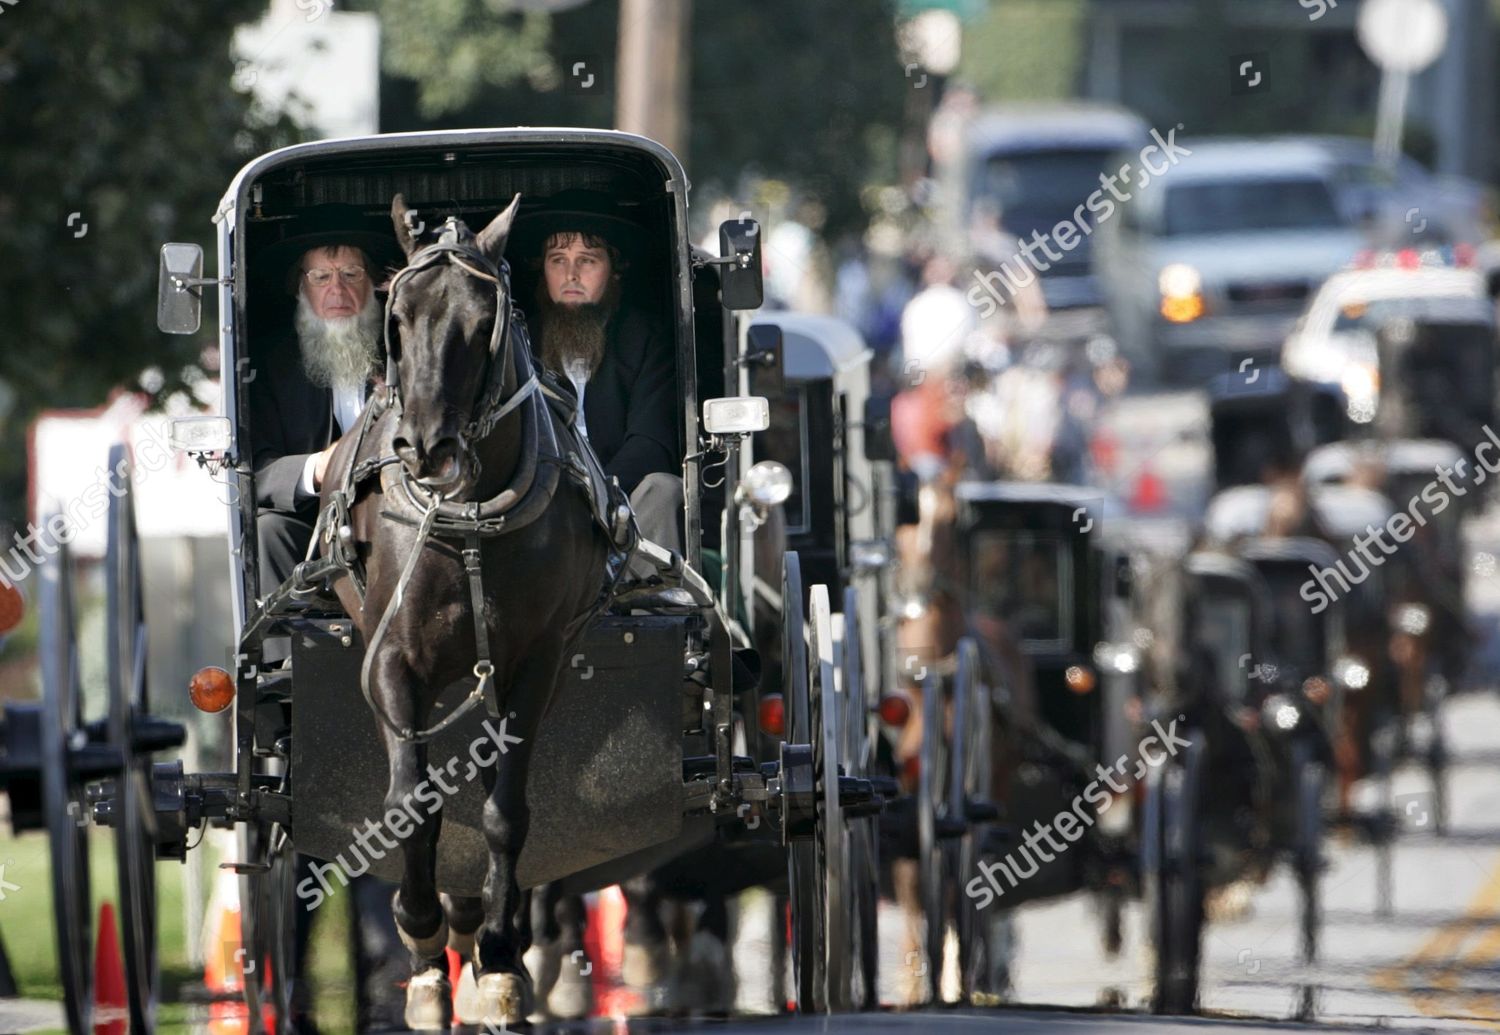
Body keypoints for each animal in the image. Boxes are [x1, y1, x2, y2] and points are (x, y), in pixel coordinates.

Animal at [324, 193, 615, 1026]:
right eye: (397, 315)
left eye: (484, 318)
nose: (428, 447)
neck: (471, 517)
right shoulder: (391, 661)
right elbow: (411, 805)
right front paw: (423, 946)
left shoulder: (534, 664)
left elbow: (504, 811)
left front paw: (499, 954)